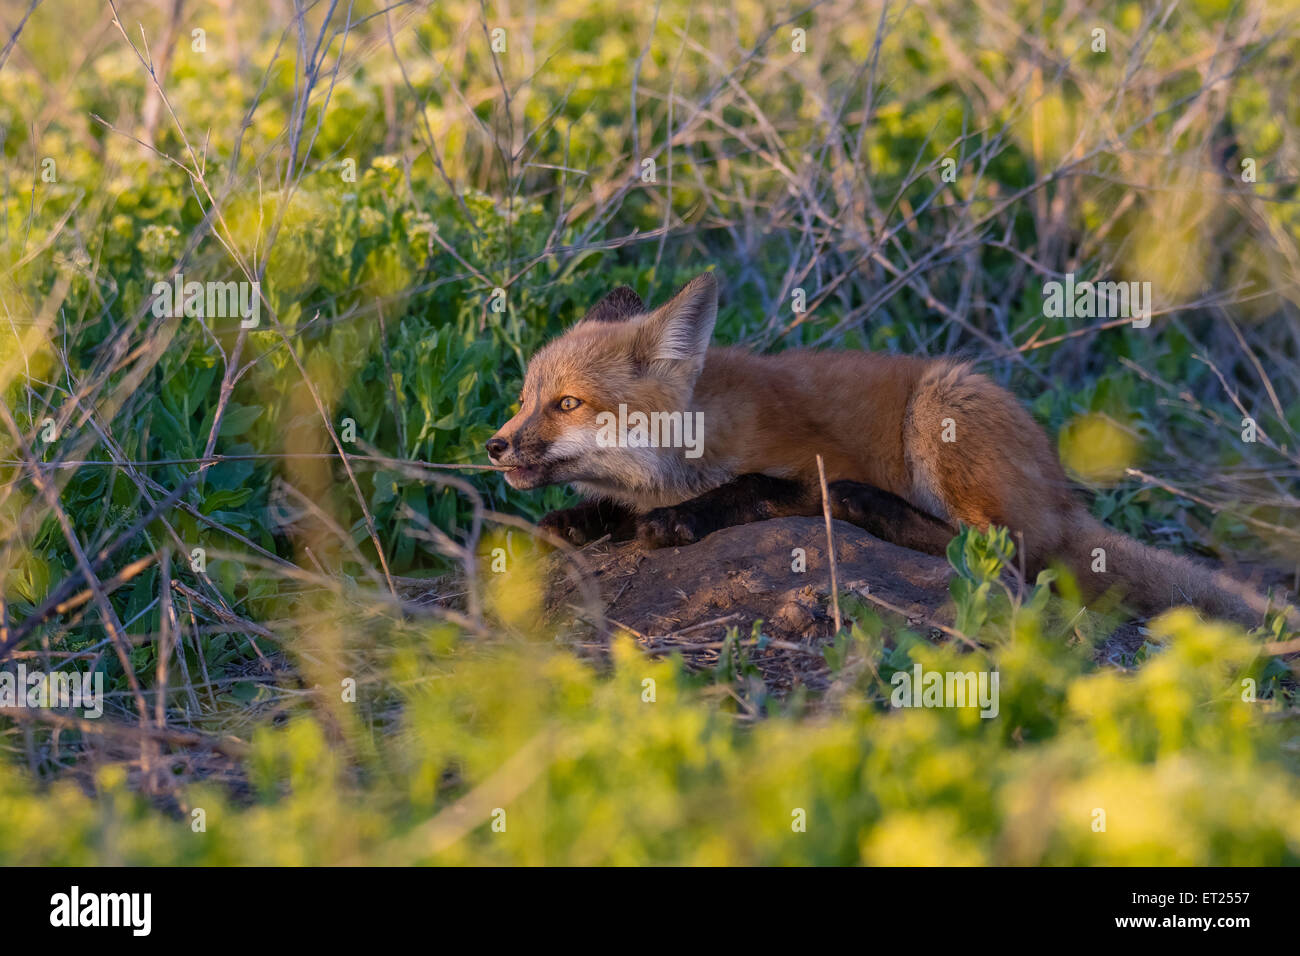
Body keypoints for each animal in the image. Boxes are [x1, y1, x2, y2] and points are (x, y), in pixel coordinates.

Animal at [488, 273, 1289, 624]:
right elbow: (604, 510)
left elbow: (751, 489)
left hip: (940, 412)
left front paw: (679, 521)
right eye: (524, 397)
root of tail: (1062, 493)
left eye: (566, 404)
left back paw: (868, 507)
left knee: (996, 553)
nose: (494, 447)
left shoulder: (803, 460)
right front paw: (579, 520)